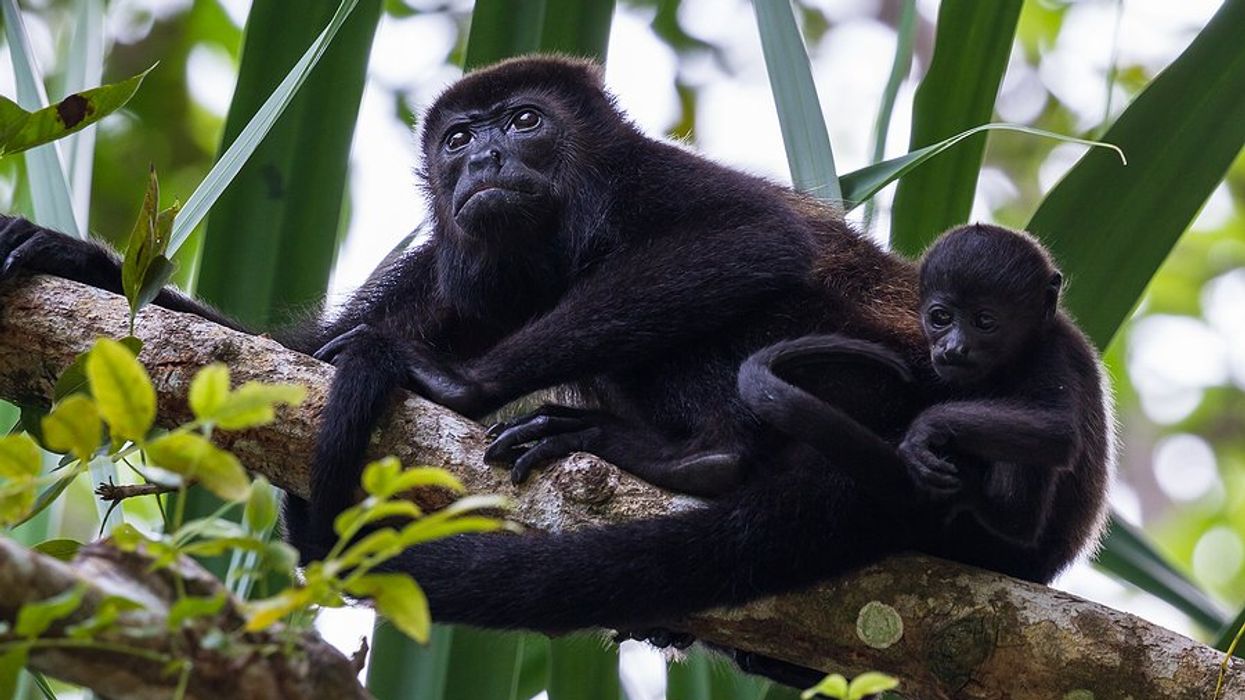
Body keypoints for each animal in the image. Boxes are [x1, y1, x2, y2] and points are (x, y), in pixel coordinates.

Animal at [738, 224, 1114, 584]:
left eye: (984, 321)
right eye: (941, 317)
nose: (953, 347)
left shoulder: (1053, 355)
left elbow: (1058, 431)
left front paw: (926, 429)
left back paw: (1001, 516)